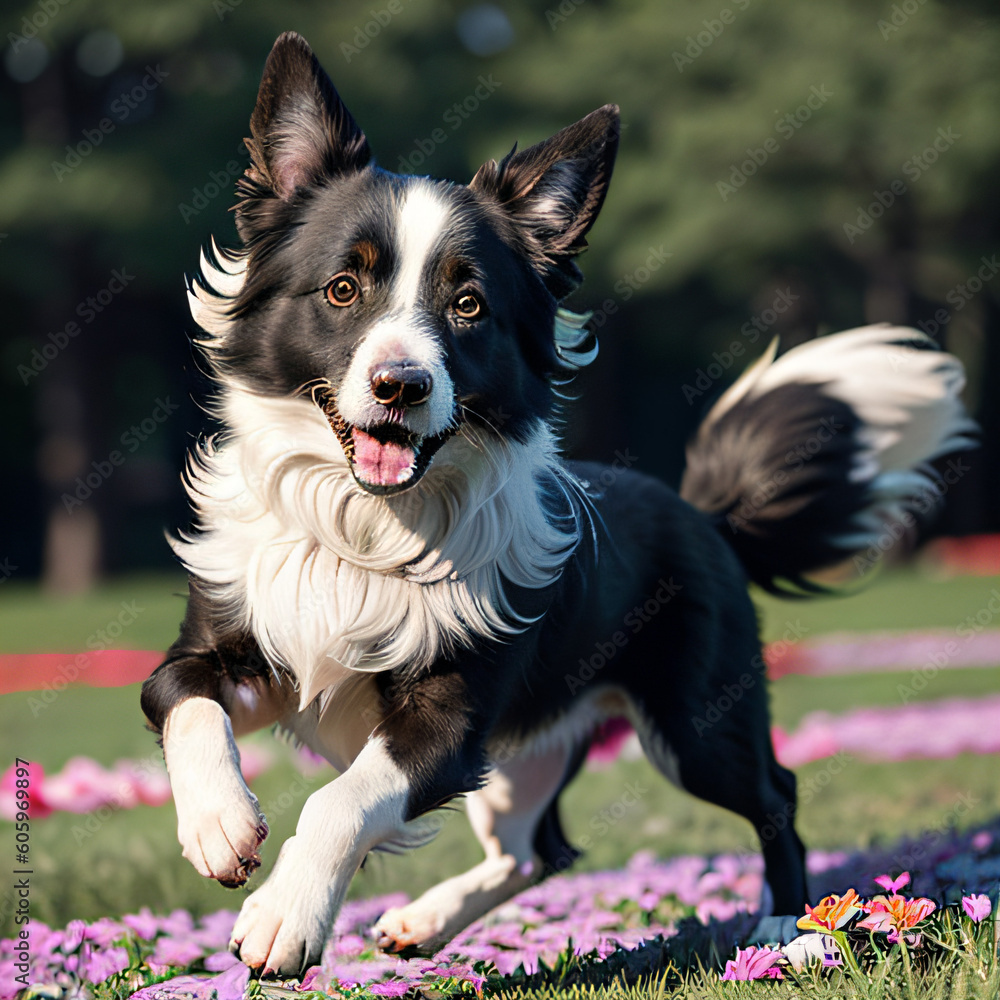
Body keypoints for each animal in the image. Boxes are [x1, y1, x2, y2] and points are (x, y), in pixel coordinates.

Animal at [141, 31, 976, 976]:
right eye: (342, 289)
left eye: (469, 305)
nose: (401, 384)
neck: (365, 529)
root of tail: (700, 512)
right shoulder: (232, 642)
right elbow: (183, 698)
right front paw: (220, 826)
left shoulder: (450, 722)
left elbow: (342, 800)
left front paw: (285, 917)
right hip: (524, 757)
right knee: (539, 852)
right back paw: (423, 920)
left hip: (694, 723)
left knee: (774, 793)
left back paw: (789, 929)